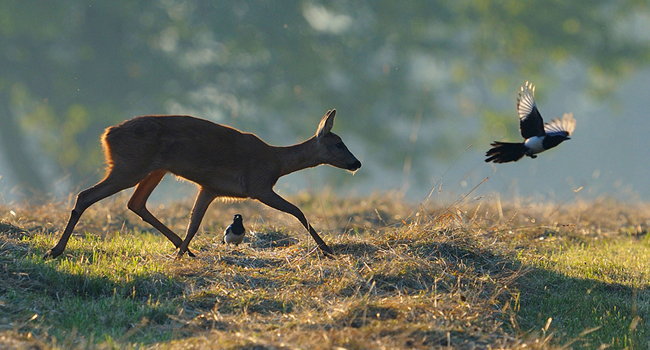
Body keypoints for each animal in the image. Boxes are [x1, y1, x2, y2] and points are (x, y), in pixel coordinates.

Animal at [44, 109, 360, 260]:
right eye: (338, 143)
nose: (356, 163)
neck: (276, 162)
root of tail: (107, 134)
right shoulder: (258, 185)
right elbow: (298, 211)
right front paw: (327, 249)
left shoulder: (209, 188)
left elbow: (194, 222)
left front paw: (180, 254)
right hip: (129, 165)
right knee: (86, 195)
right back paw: (55, 250)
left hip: (154, 168)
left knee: (136, 203)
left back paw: (185, 250)